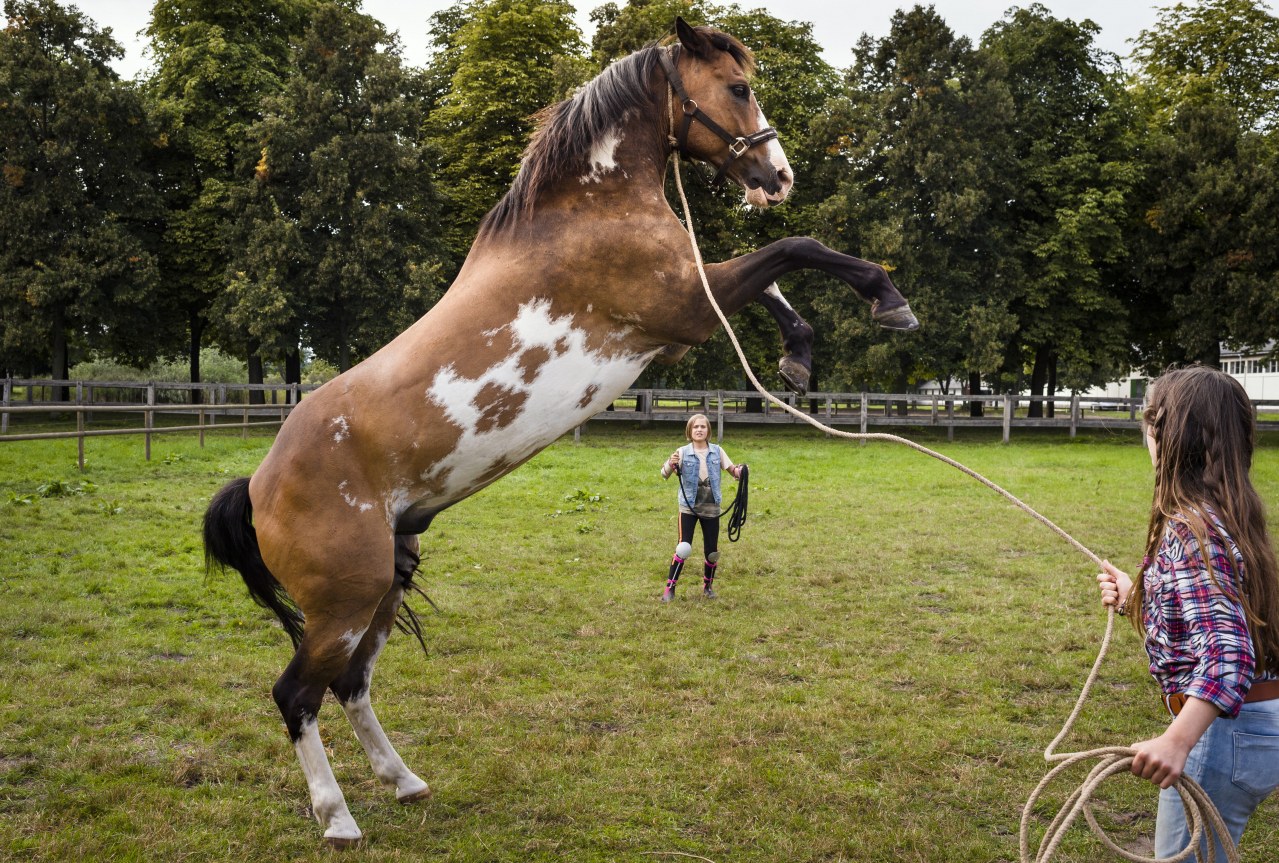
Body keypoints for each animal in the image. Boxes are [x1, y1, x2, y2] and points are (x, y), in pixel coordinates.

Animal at [204, 21, 915, 848]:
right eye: (738, 88)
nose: (777, 177)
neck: (588, 209)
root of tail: (258, 484)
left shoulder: (684, 318)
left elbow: (774, 274)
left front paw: (797, 355)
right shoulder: (682, 309)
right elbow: (795, 249)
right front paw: (886, 300)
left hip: (380, 587)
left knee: (349, 683)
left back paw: (404, 779)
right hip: (342, 601)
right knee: (296, 694)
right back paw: (337, 815)